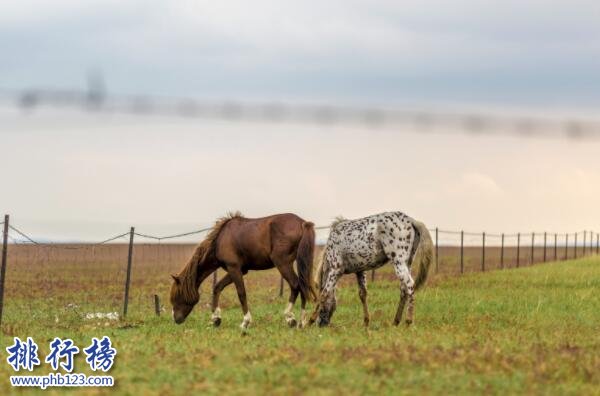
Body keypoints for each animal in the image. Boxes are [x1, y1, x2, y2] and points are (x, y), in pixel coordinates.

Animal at [169, 212, 314, 330]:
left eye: (177, 296)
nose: (175, 319)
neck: (220, 239)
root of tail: (303, 223)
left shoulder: (234, 268)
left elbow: (241, 293)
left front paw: (245, 322)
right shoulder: (238, 270)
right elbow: (217, 288)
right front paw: (216, 319)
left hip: (282, 263)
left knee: (295, 285)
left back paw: (290, 318)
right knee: (302, 286)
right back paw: (301, 322)